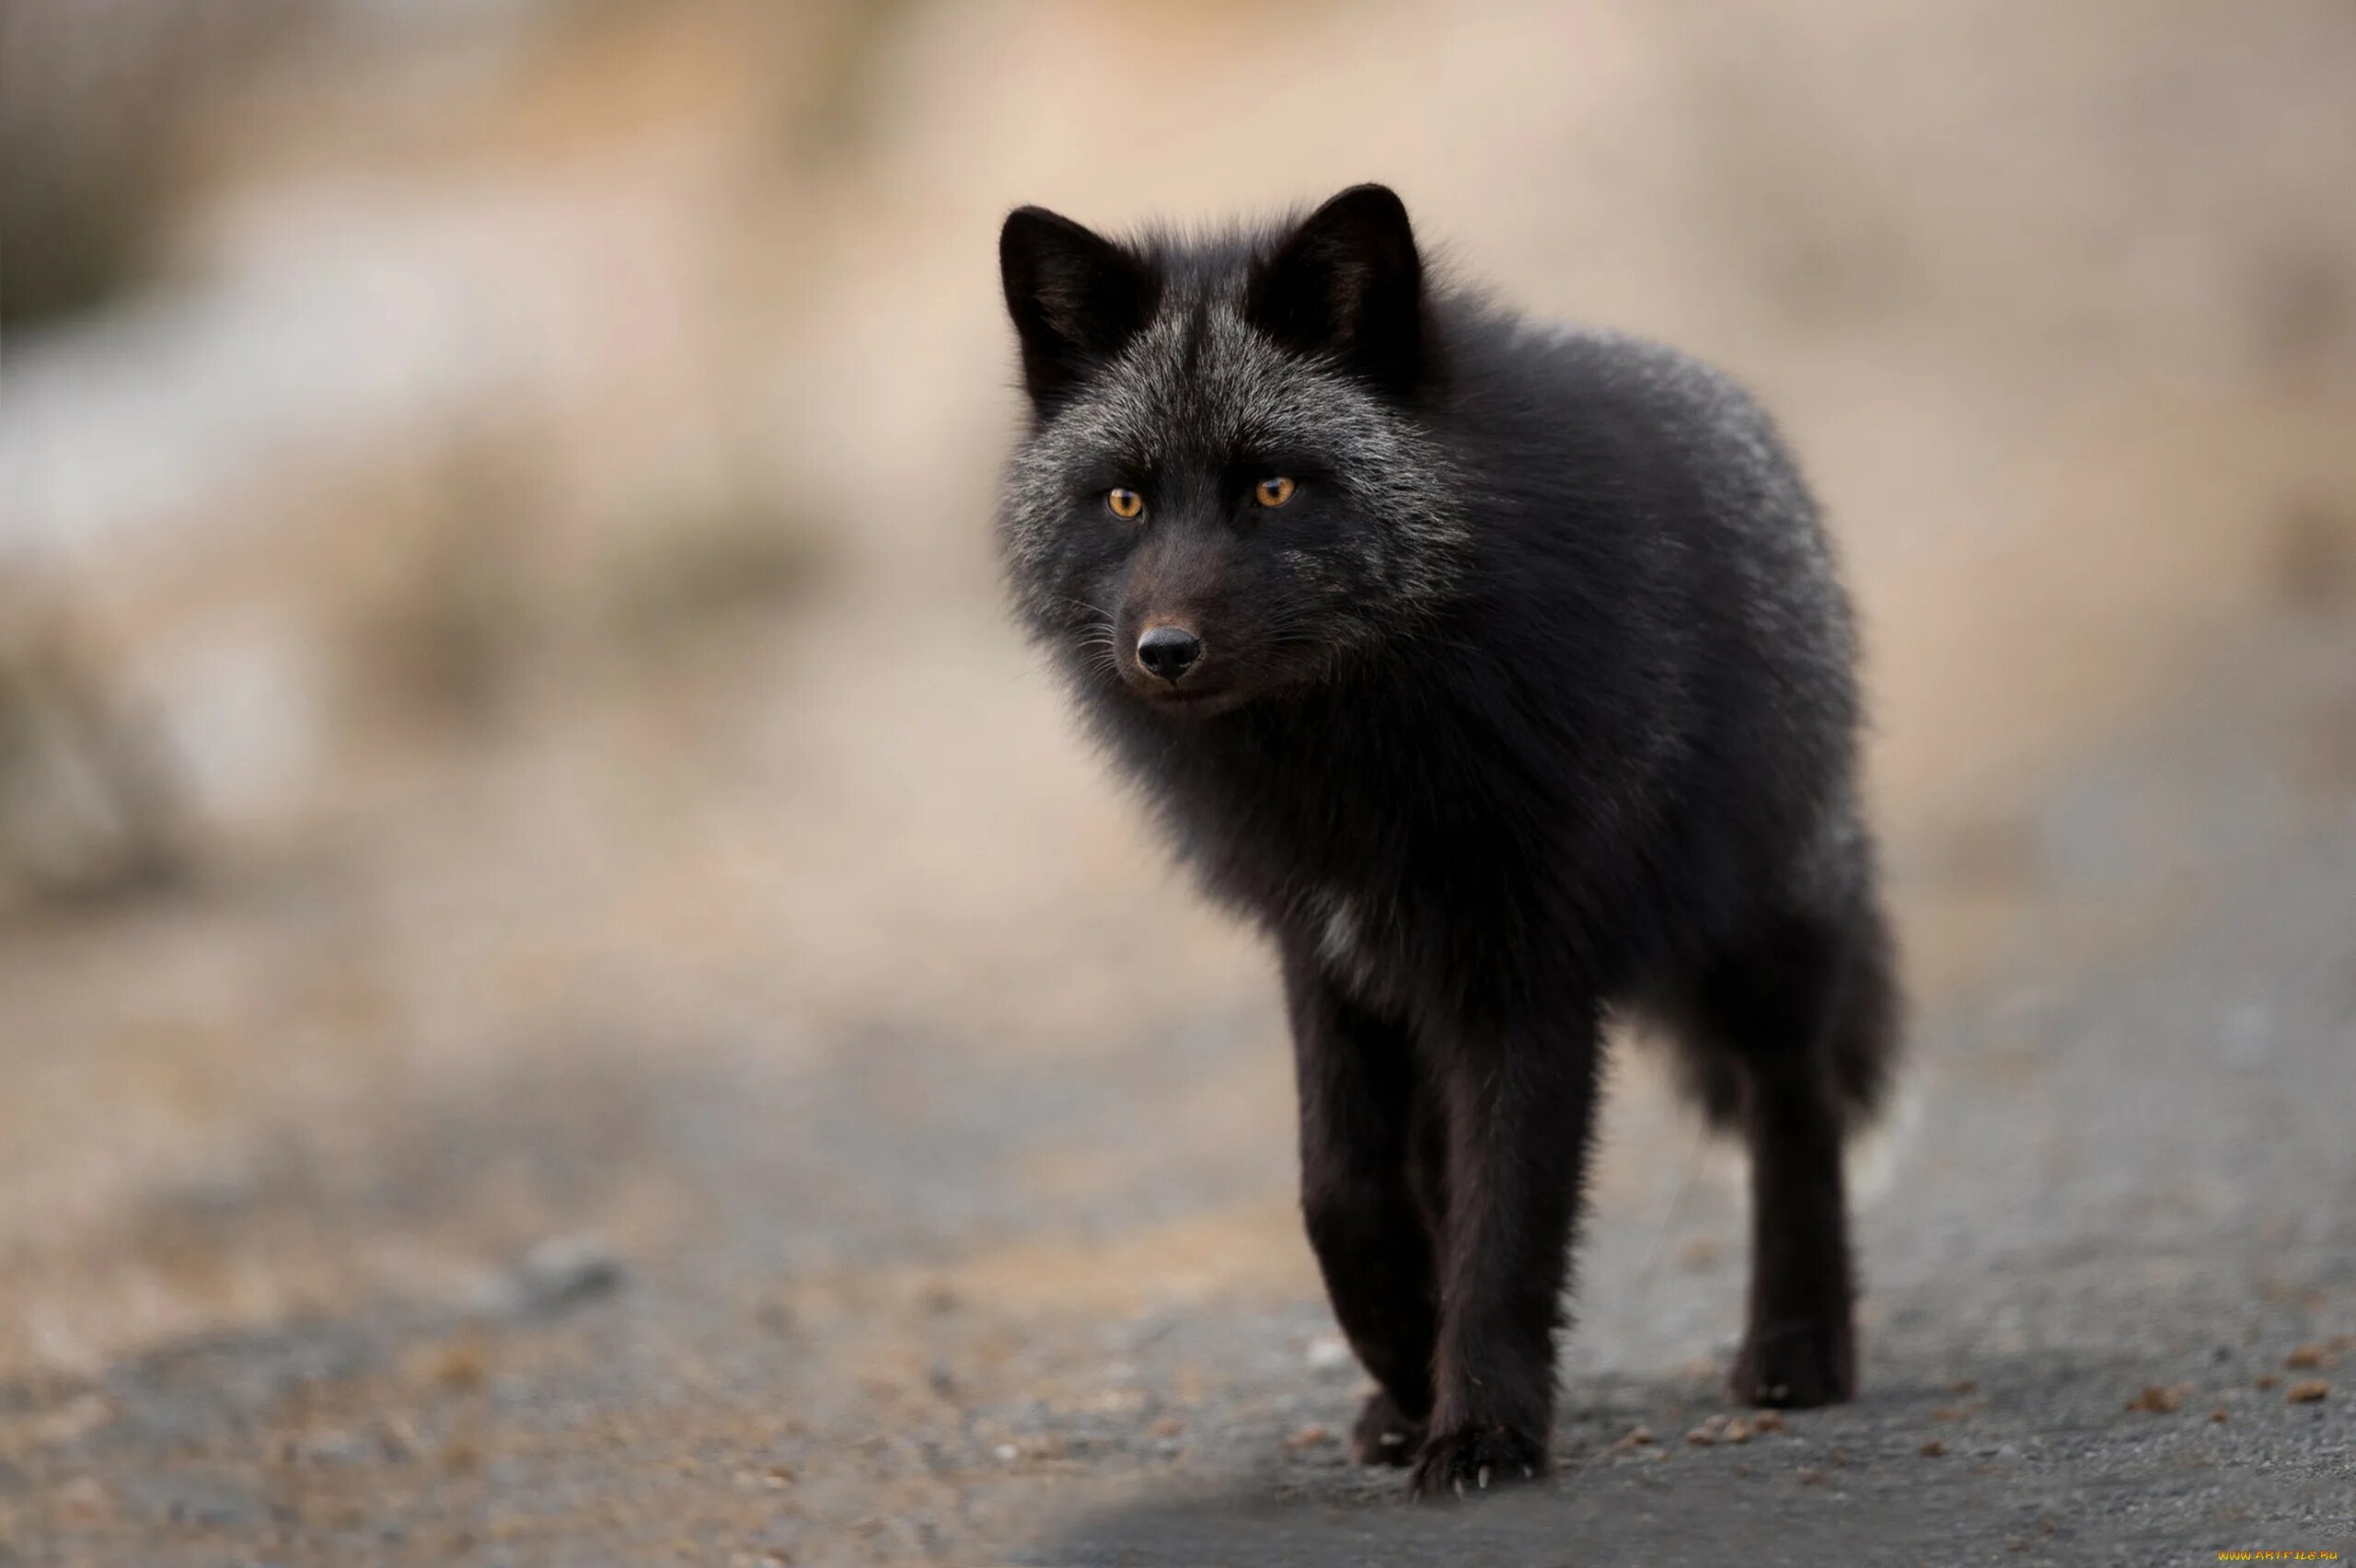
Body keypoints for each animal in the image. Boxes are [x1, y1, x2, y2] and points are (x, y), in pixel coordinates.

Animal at [989, 189, 1894, 1497]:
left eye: (1274, 490)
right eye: (1123, 500)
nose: (1163, 652)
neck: (1352, 760)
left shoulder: (1530, 972)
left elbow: (1506, 1226)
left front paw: (1481, 1430)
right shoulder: (1328, 954)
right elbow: (1342, 1194)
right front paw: (1408, 1370)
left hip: (1752, 939)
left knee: (1797, 1101)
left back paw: (1796, 1343)